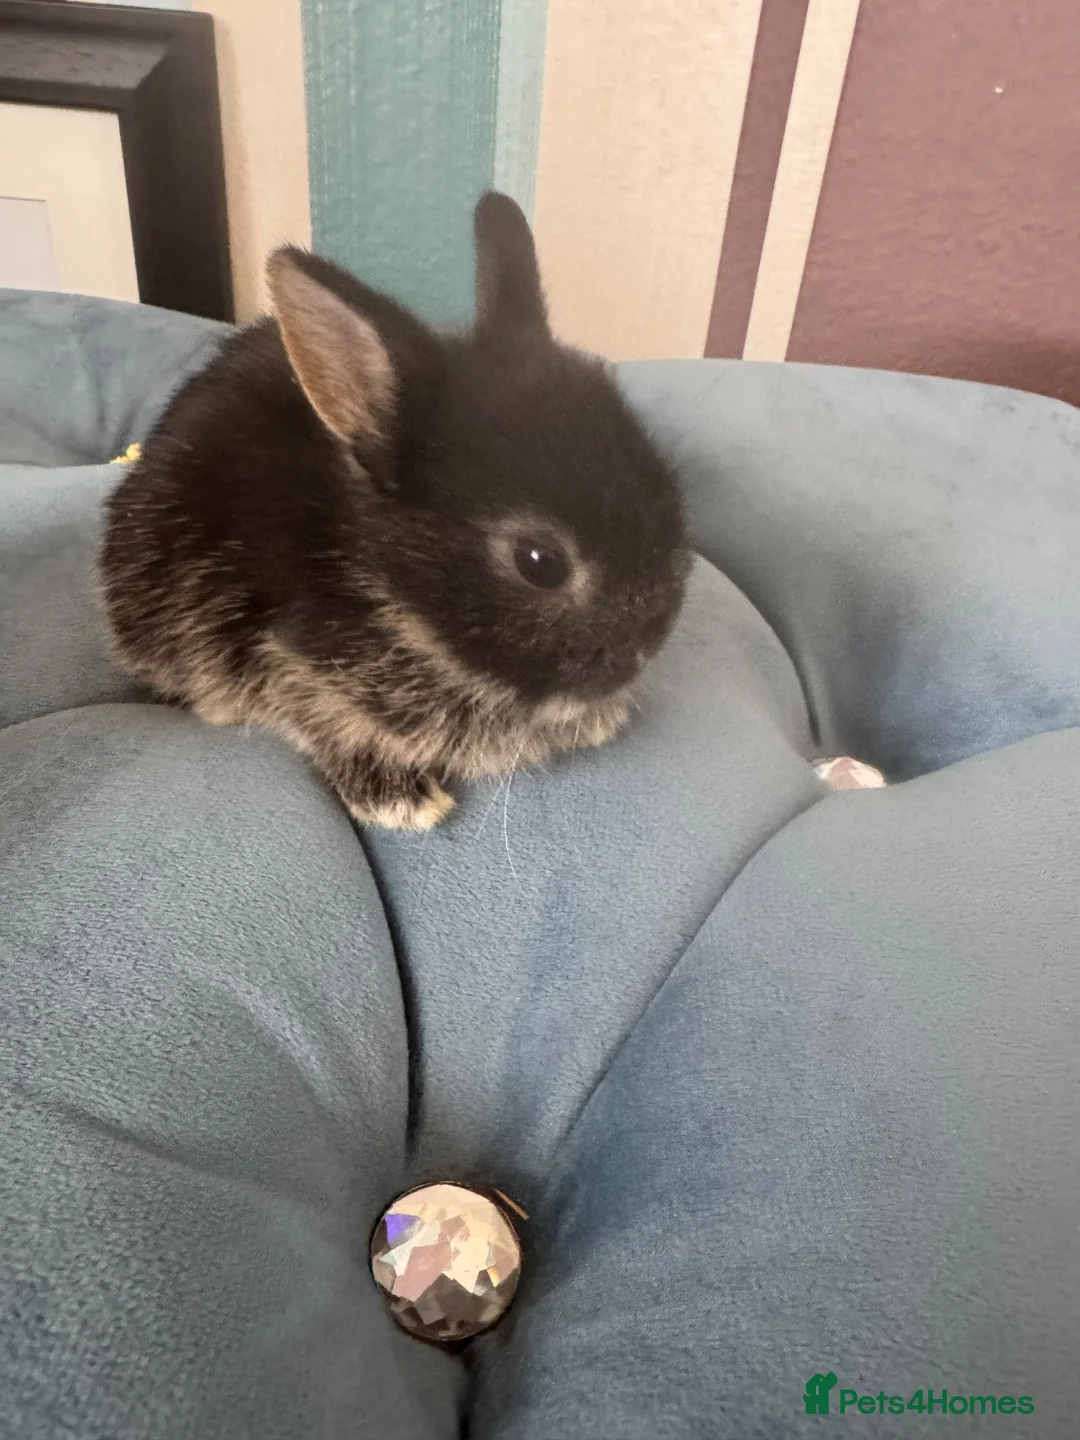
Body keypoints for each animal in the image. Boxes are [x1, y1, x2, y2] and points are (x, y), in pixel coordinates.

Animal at [100, 192, 689, 830]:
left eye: (664, 484)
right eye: (540, 562)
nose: (643, 652)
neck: (388, 591)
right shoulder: (285, 661)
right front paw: (401, 802)